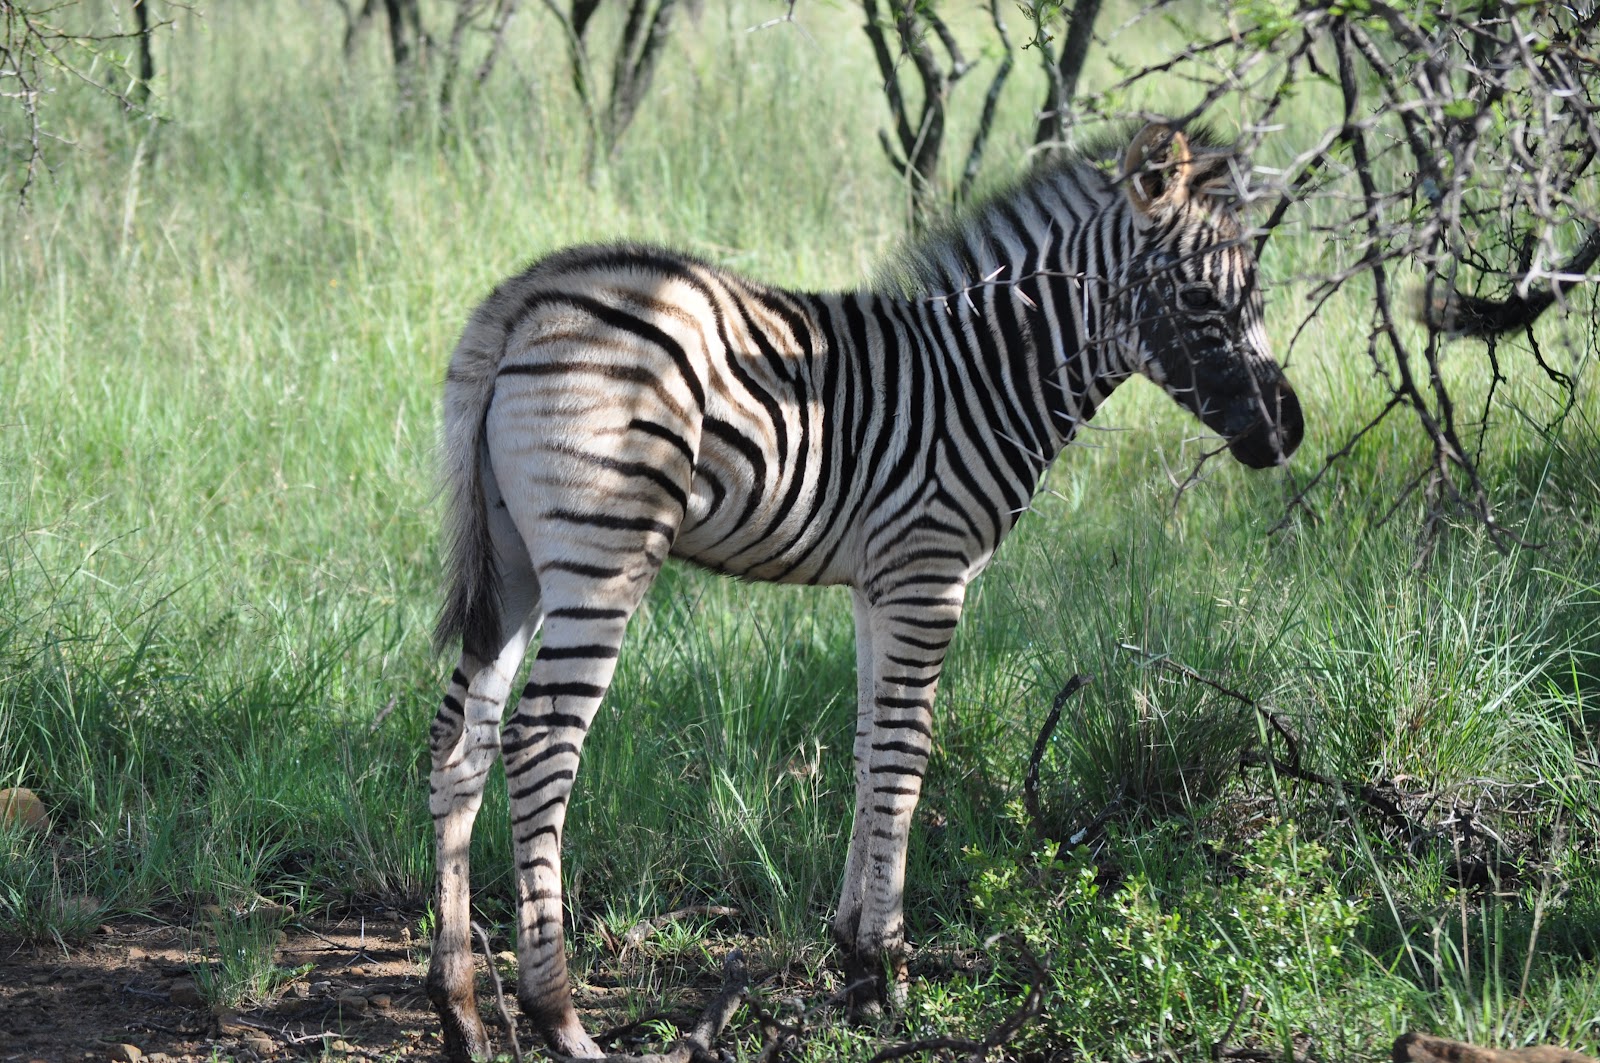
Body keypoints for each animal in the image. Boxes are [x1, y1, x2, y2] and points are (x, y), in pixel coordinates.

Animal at [425, 120, 1303, 1060]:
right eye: (1205, 301)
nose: (1288, 431)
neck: (989, 376)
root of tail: (525, 299)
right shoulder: (929, 573)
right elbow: (906, 752)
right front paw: (887, 968)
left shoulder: (877, 586)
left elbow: (866, 743)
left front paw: (852, 952)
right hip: (604, 550)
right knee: (540, 743)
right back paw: (558, 1016)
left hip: (513, 564)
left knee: (461, 738)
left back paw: (458, 1007)